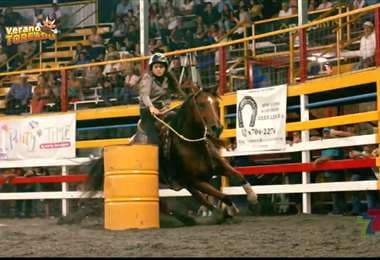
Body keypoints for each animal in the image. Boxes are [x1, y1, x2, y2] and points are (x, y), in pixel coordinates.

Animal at [85, 86, 258, 223]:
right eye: (202, 104)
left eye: (216, 104)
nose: (217, 128)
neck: (192, 144)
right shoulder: (194, 180)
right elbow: (223, 195)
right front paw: (232, 209)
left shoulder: (216, 167)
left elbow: (238, 176)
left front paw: (252, 197)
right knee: (164, 205)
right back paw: (188, 219)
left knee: (198, 199)